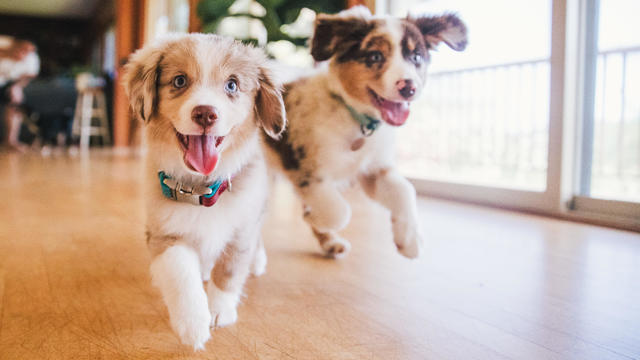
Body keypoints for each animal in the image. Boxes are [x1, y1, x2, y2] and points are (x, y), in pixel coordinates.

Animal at [124, 33, 284, 348]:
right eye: (179, 81)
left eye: (232, 84)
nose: (206, 113)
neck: (201, 189)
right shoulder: (164, 233)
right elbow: (181, 274)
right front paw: (192, 324)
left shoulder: (242, 228)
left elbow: (229, 271)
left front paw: (219, 311)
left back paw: (257, 262)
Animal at [262, 5, 468, 258]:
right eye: (375, 56)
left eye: (416, 56)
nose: (409, 88)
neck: (355, 119)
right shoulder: (305, 168)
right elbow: (340, 210)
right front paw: (314, 217)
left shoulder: (373, 171)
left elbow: (405, 189)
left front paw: (409, 239)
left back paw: (330, 243)